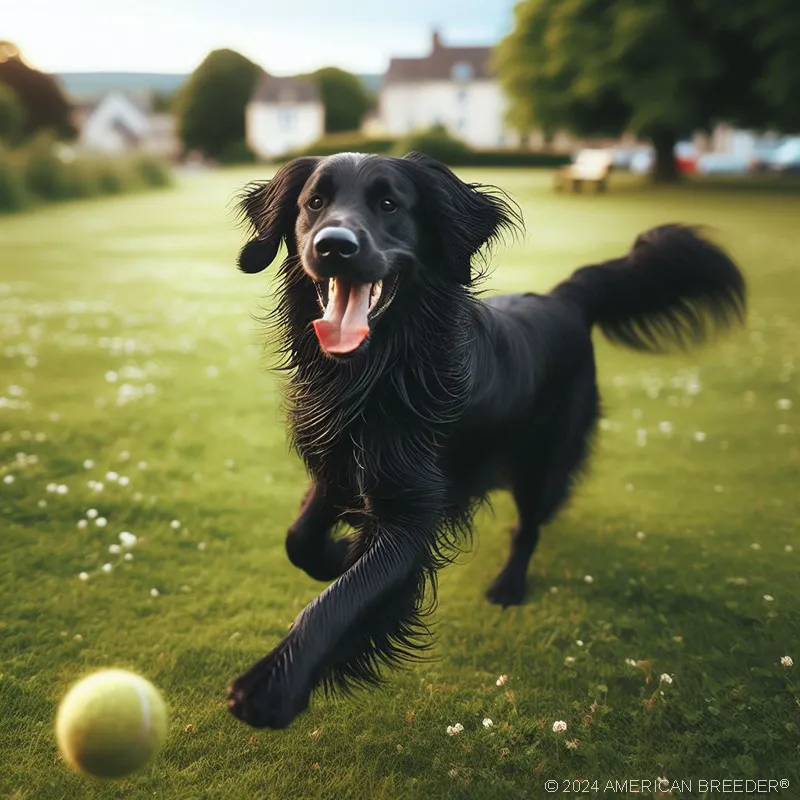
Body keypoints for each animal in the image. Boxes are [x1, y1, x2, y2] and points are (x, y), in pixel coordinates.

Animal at [227, 152, 752, 732]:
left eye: (389, 203)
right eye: (314, 203)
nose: (333, 245)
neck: (379, 376)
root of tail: (564, 299)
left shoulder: (411, 517)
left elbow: (341, 601)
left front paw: (274, 684)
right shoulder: (338, 464)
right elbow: (299, 539)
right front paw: (339, 552)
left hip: (544, 463)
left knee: (529, 526)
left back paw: (509, 586)